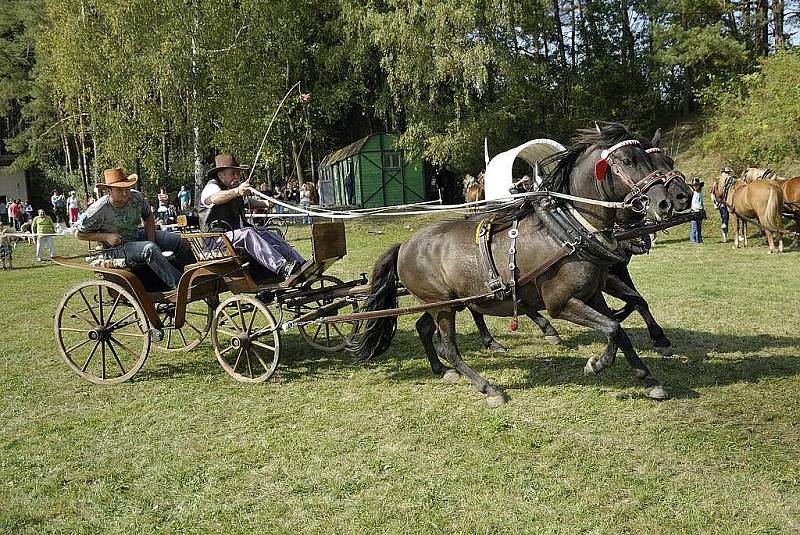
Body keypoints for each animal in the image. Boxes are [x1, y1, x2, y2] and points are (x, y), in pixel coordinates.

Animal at [356, 122, 676, 406]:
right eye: (628, 160)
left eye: (657, 159)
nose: (666, 202)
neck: (567, 231)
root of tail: (404, 245)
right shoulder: (561, 302)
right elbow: (613, 328)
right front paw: (598, 364)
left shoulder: (592, 293)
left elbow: (620, 323)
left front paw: (647, 377)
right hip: (441, 305)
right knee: (448, 347)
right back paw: (488, 388)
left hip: (443, 302)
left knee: (424, 329)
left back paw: (441, 371)